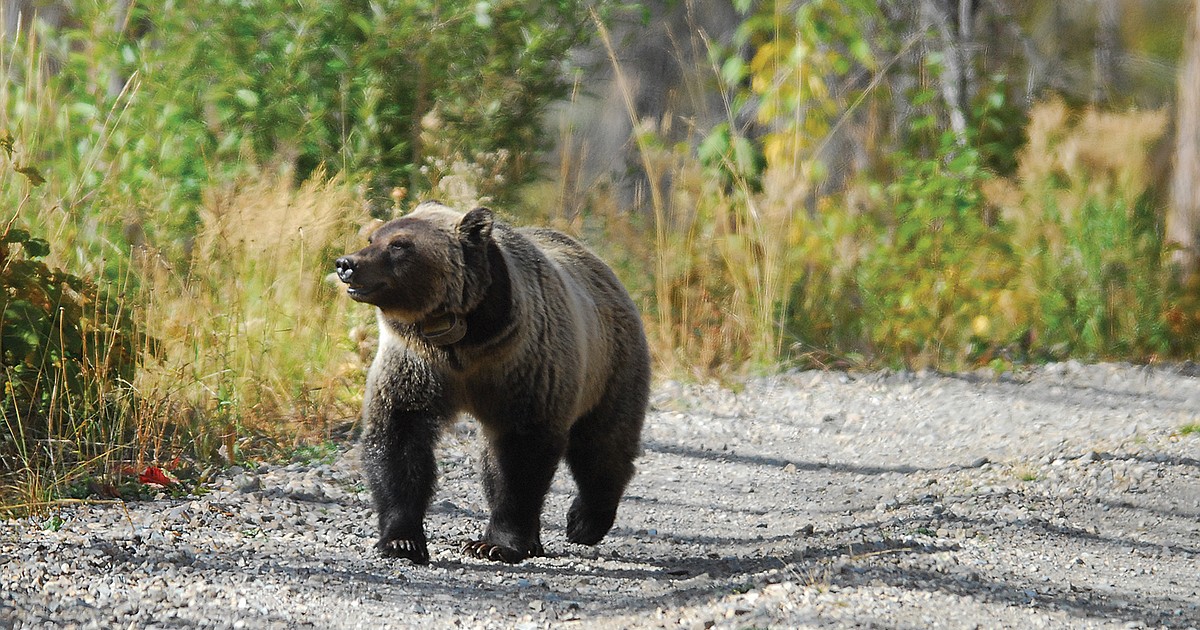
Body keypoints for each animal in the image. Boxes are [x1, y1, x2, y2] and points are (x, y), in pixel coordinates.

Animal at [333, 202, 652, 564]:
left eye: (400, 244)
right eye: (373, 237)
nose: (347, 264)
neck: (462, 339)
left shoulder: (524, 364)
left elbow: (520, 456)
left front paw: (496, 544)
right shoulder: (416, 363)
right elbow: (398, 437)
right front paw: (401, 541)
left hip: (610, 366)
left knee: (603, 444)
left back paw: (585, 522)